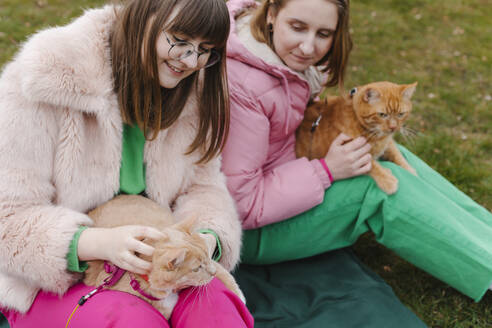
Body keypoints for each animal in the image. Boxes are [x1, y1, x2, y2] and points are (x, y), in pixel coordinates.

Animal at [84, 195, 246, 318]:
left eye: (207, 256)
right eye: (196, 268)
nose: (212, 272)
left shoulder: (213, 262)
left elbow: (225, 274)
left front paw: (238, 294)